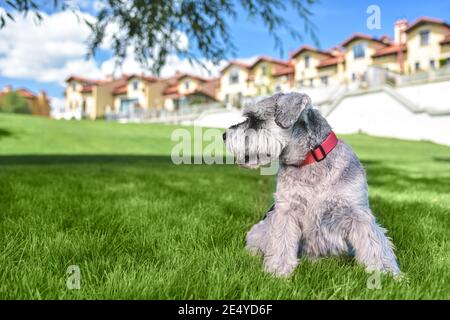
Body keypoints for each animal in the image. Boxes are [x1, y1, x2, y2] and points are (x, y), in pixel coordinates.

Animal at [225, 92, 400, 278]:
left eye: (256, 120)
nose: (224, 136)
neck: (311, 161)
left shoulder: (357, 212)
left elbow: (374, 243)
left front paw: (387, 273)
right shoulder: (286, 210)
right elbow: (281, 242)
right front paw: (277, 270)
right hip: (261, 227)